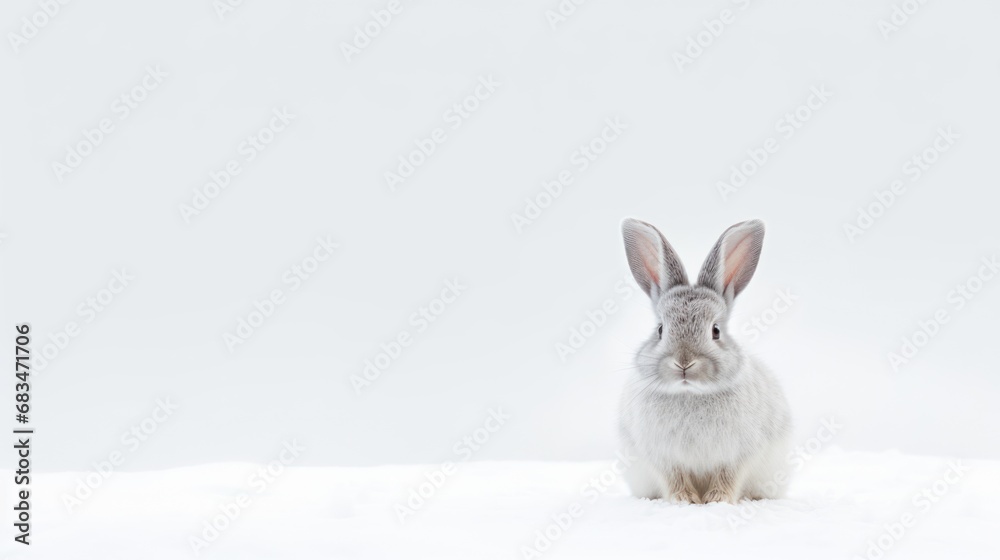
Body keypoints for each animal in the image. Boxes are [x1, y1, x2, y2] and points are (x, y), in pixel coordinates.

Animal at [617, 218, 791, 504]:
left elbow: (728, 476)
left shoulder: (739, 454)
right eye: (660, 329)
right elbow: (674, 478)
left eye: (716, 331)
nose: (684, 363)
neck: (690, 394)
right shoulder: (662, 458)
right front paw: (684, 499)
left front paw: (717, 499)